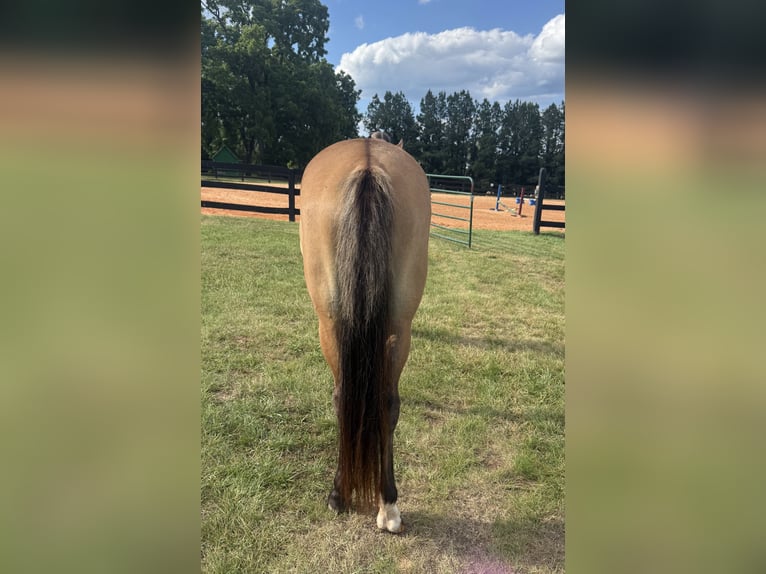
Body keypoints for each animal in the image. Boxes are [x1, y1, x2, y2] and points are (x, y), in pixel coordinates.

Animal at [299, 137, 431, 533]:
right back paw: (388, 505)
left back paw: (339, 494)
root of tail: (368, 165)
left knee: (342, 397)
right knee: (388, 402)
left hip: (329, 323)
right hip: (400, 325)